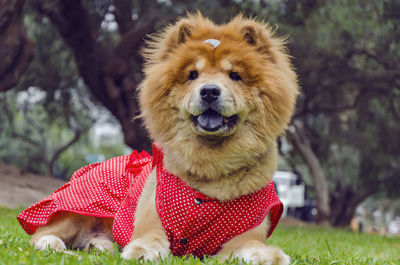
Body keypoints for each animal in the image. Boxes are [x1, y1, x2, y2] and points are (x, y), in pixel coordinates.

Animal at [17, 13, 298, 264]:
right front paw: (143, 252)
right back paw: (57, 246)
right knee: (41, 236)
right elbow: (149, 238)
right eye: (193, 74)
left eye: (235, 75)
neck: (210, 171)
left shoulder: (244, 235)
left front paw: (269, 257)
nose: (209, 91)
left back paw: (99, 246)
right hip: (77, 209)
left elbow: (253, 247)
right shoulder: (152, 218)